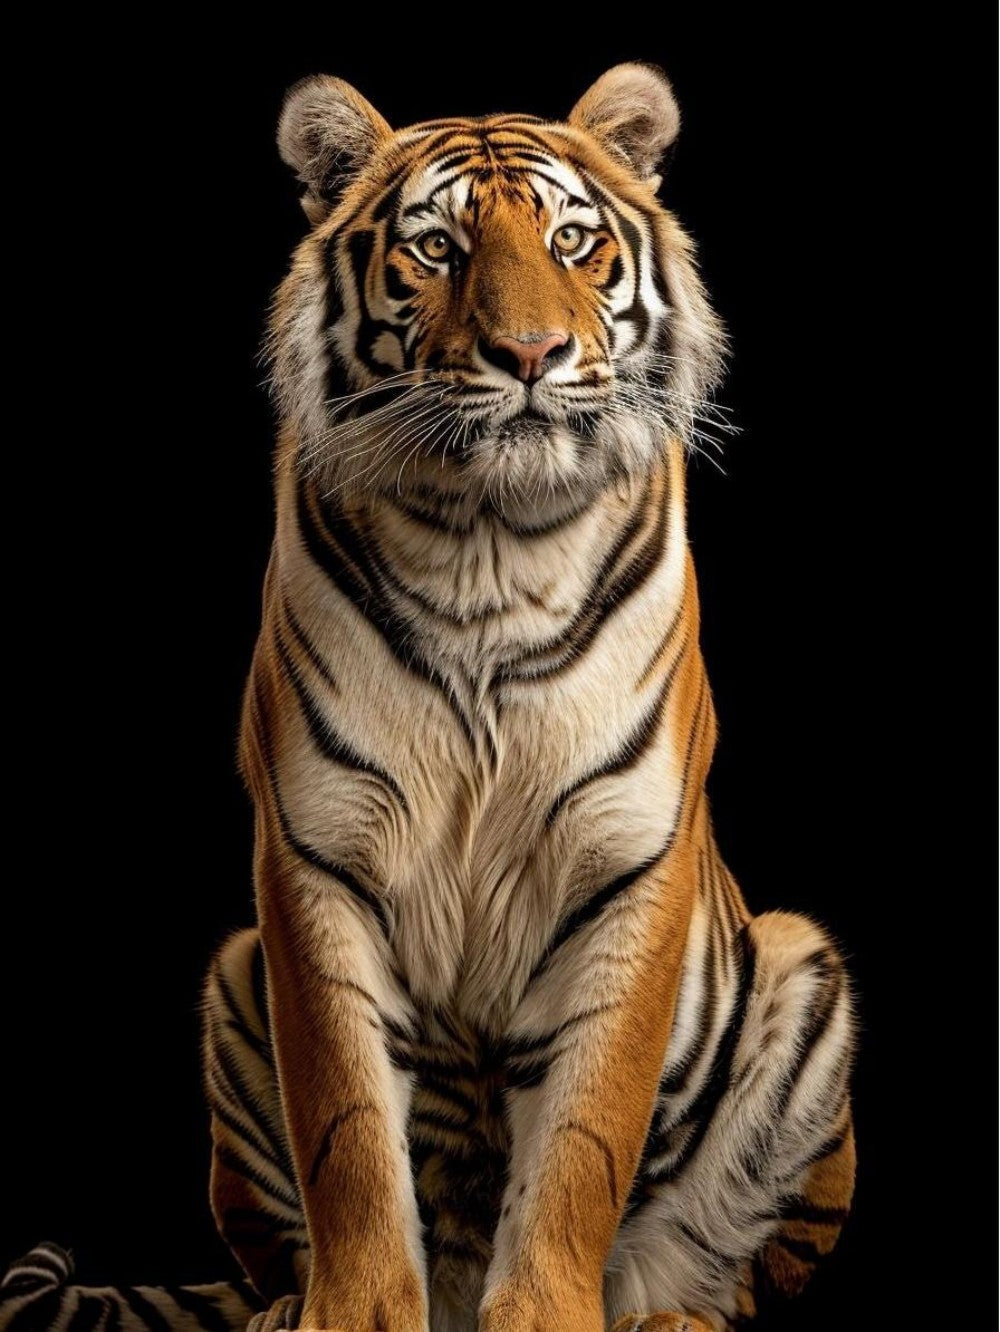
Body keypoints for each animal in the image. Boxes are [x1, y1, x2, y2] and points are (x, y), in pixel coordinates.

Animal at [1, 63, 855, 1332]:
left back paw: (666, 1314)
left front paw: (550, 1315)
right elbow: (348, 1129)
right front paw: (351, 1315)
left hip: (803, 975)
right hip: (231, 975)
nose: (531, 352)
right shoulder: (314, 856)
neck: (492, 547)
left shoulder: (626, 857)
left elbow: (584, 1137)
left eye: (571, 241)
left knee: (736, 1277)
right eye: (438, 248)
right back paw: (280, 1312)